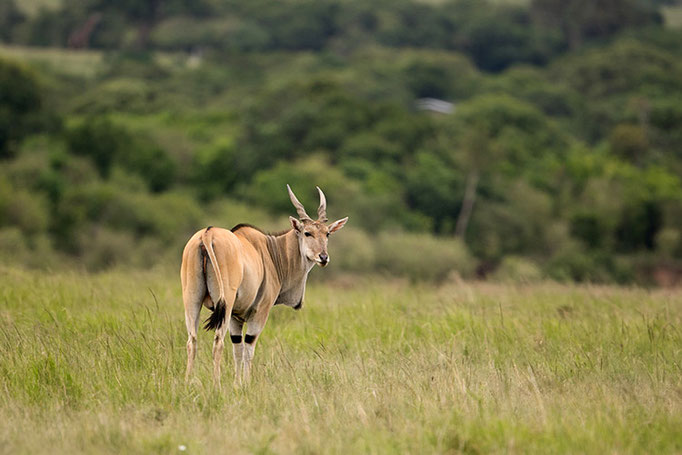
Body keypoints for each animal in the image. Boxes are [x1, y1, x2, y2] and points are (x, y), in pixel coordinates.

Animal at [179, 185, 346, 384]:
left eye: (327, 234)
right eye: (308, 233)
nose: (323, 257)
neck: (272, 252)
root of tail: (207, 234)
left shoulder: (236, 316)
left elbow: (237, 349)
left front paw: (237, 383)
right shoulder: (259, 312)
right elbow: (249, 348)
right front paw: (246, 383)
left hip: (192, 300)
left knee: (192, 341)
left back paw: (188, 382)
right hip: (224, 304)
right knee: (218, 342)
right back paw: (216, 384)